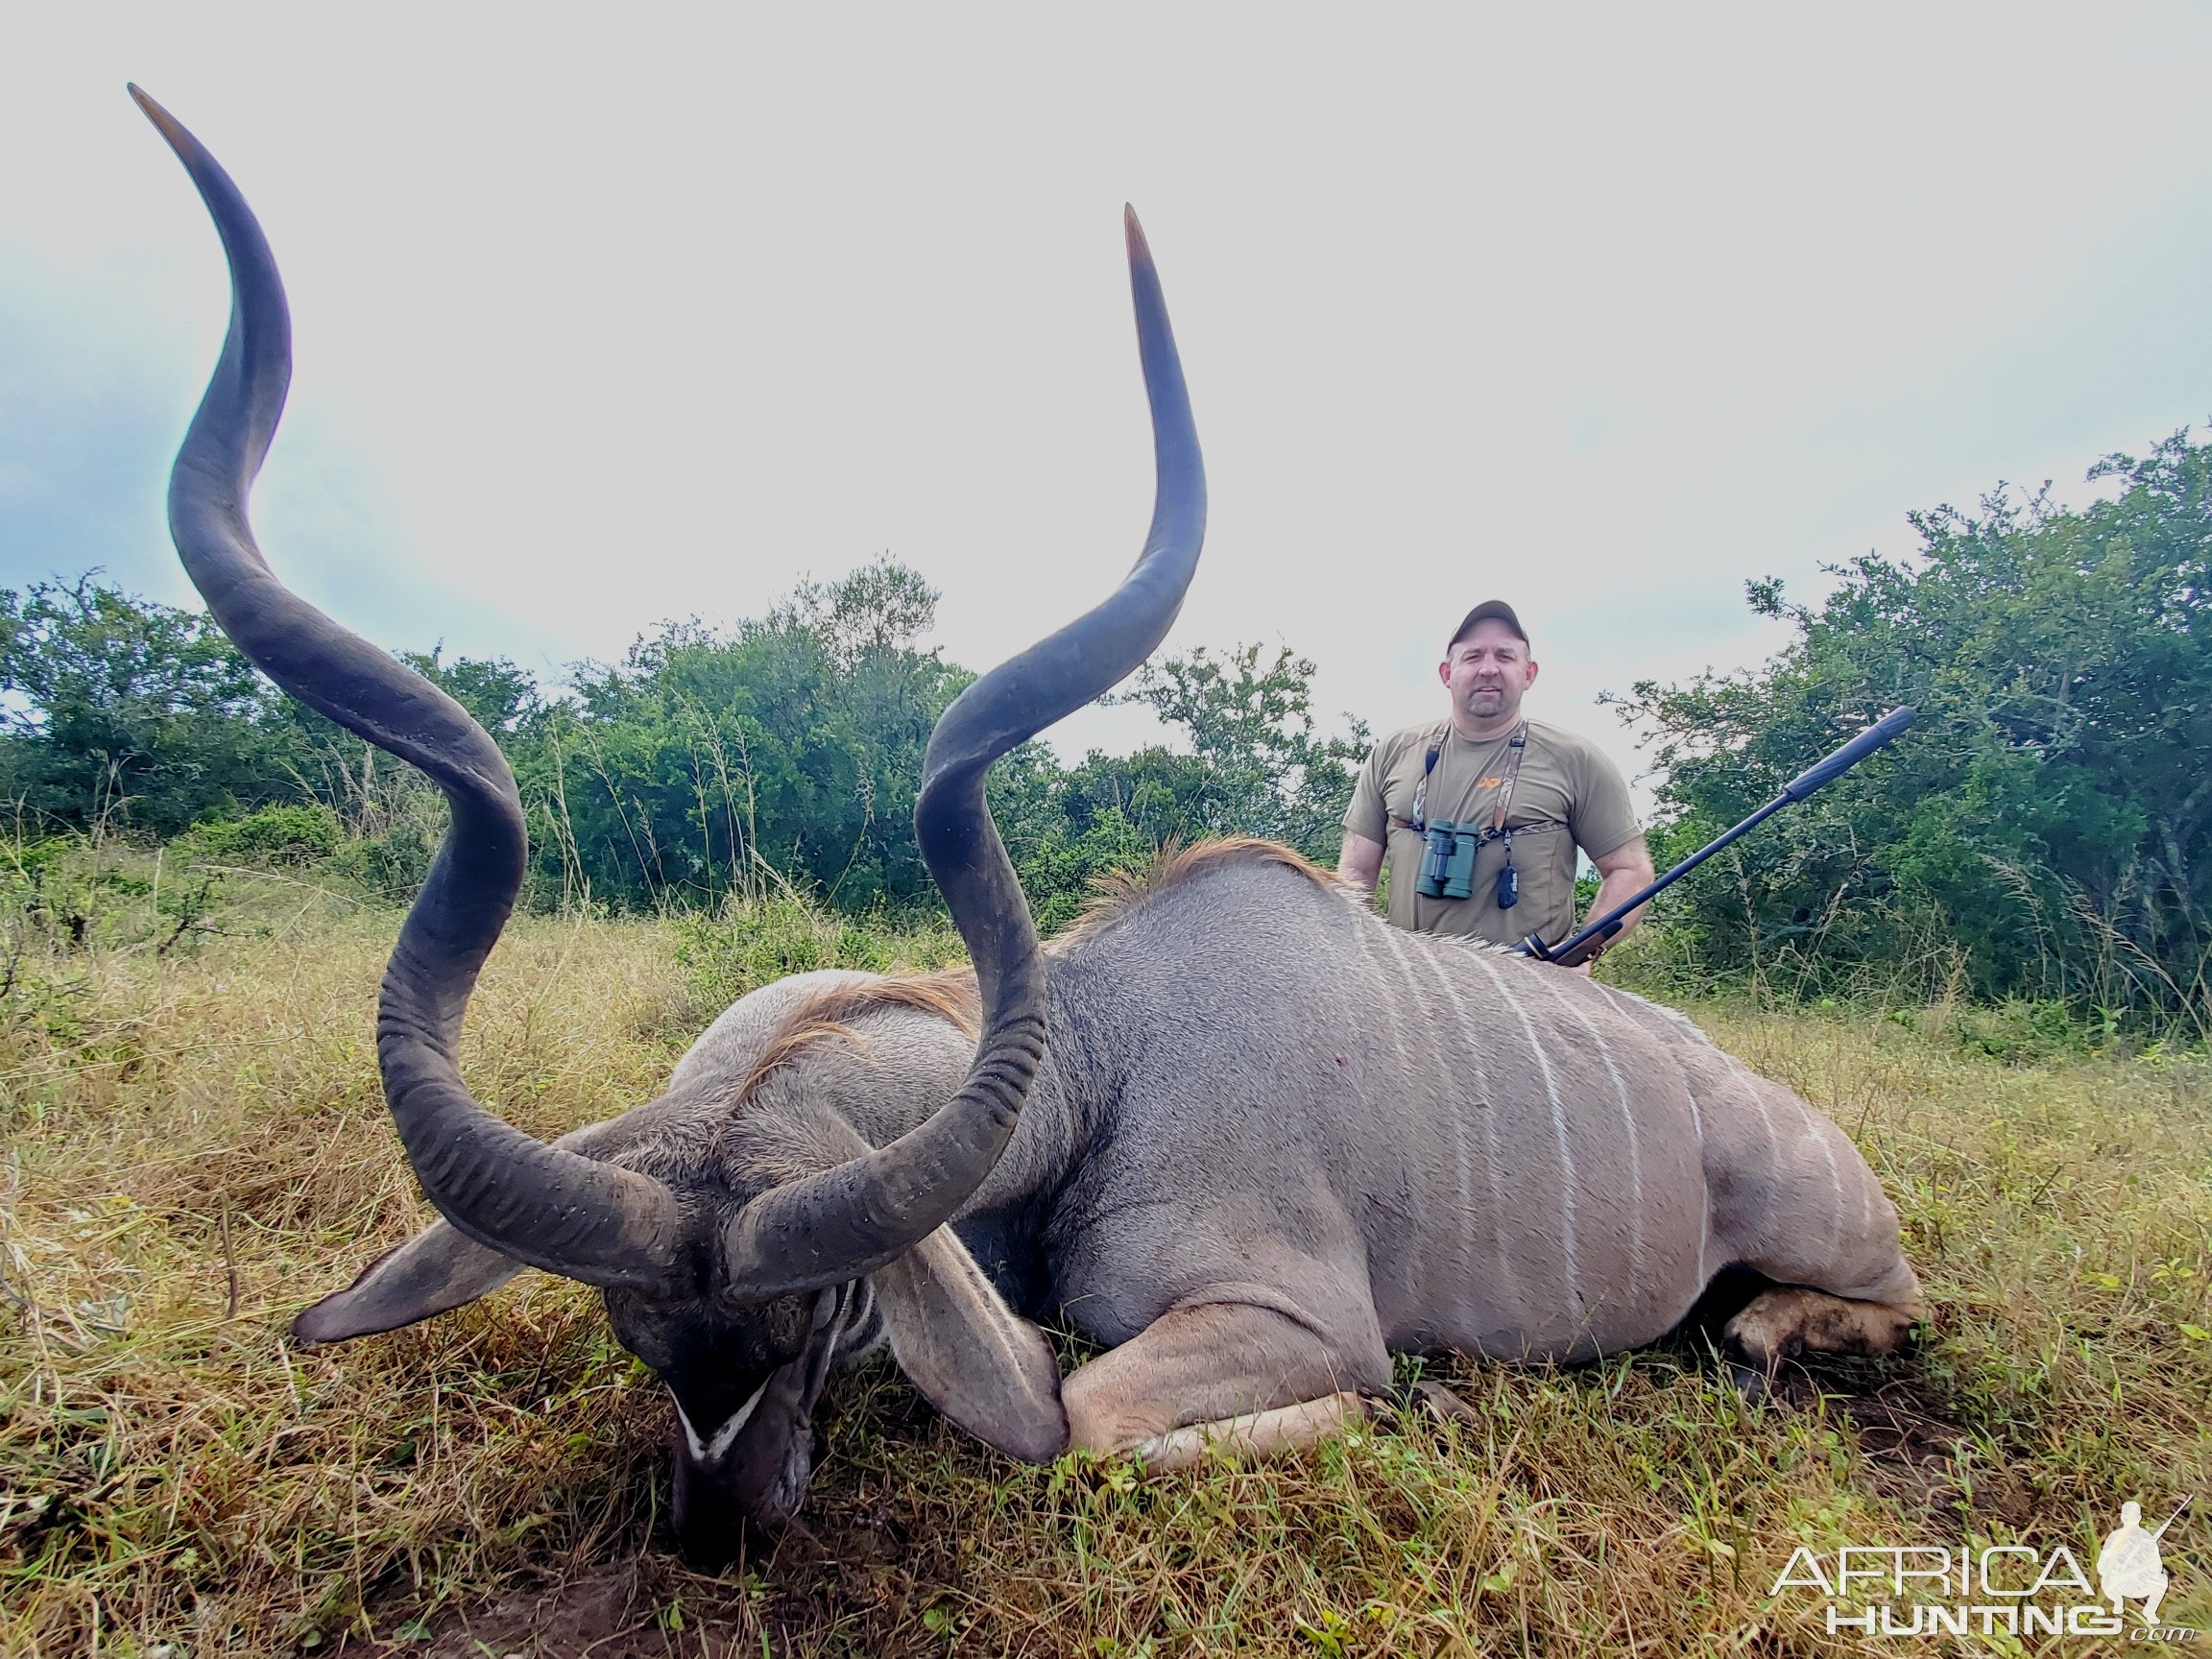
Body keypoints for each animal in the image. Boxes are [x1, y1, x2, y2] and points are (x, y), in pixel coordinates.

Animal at [133, 90, 1919, 1575]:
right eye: (632, 1336)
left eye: (821, 1315)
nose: (721, 1533)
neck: (1106, 1058)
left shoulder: (1284, 1310)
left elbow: (1087, 1420)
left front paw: (1412, 1400)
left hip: (1822, 1231)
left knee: (1863, 1306)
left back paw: (1758, 1340)